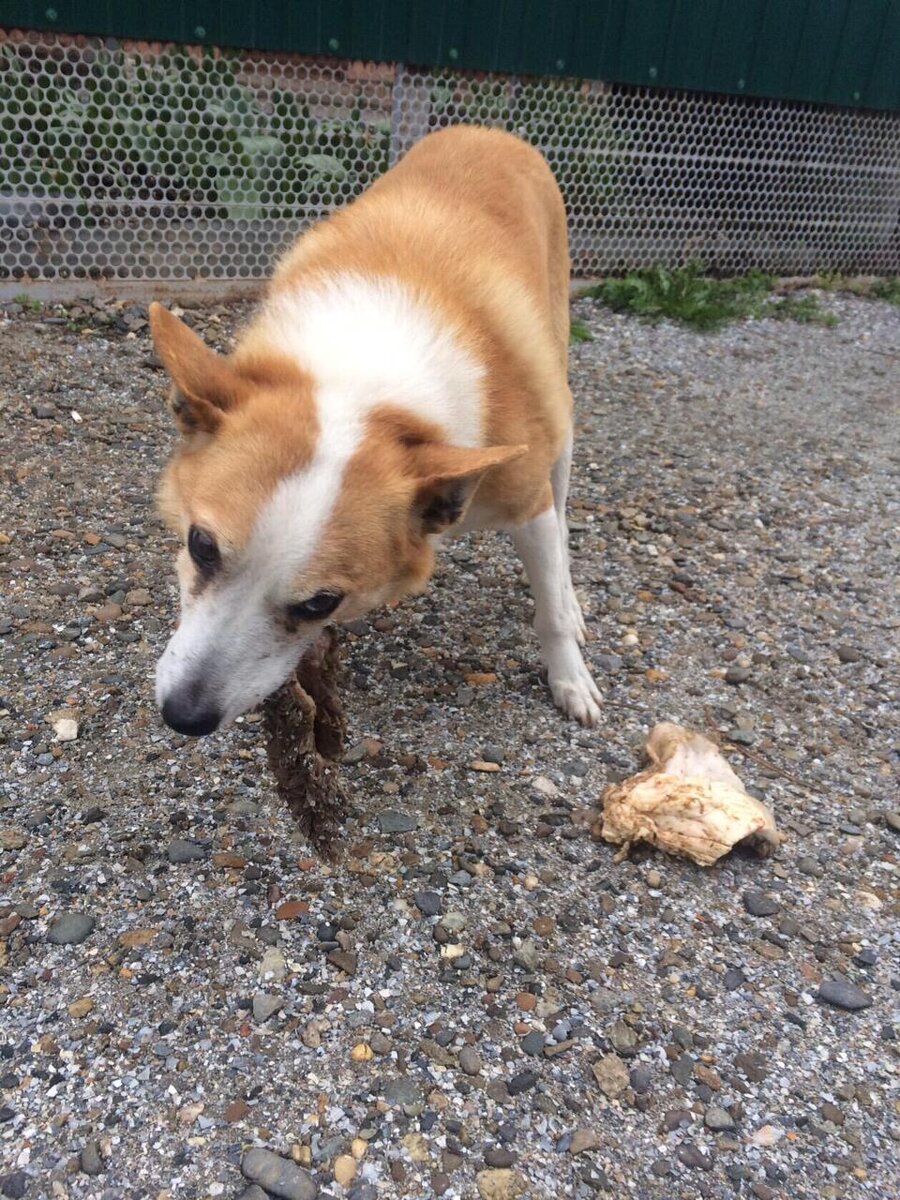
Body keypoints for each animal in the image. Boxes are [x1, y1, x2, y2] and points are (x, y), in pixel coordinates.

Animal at [151, 126, 602, 734]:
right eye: (201, 546)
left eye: (319, 603)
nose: (183, 716)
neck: (362, 383)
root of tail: (489, 131)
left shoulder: (526, 502)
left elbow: (549, 602)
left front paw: (570, 677)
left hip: (560, 421)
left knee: (561, 521)